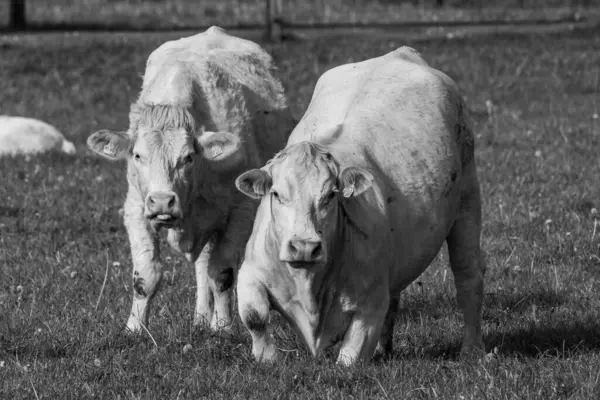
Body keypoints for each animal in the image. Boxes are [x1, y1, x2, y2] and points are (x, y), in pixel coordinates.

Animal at [87, 26, 298, 334]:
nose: (162, 202)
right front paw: (135, 329)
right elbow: (145, 275)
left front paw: (222, 328)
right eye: (137, 155)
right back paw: (199, 318)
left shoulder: (241, 211)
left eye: (188, 157)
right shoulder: (136, 206)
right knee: (201, 267)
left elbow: (222, 273)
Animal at [236, 46, 488, 366]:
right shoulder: (250, 271)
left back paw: (472, 350)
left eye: (331, 195)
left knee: (468, 278)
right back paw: (385, 349)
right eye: (277, 194)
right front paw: (267, 358)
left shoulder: (370, 301)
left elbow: (350, 357)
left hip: (468, 201)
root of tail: (400, 53)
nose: (304, 247)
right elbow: (254, 315)